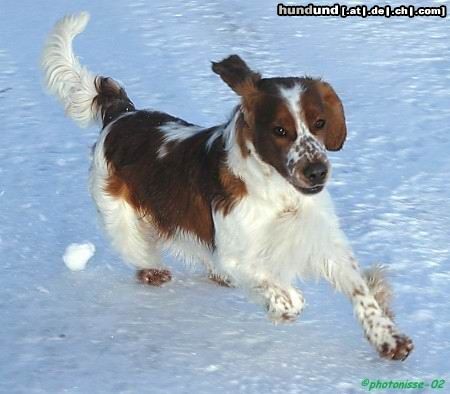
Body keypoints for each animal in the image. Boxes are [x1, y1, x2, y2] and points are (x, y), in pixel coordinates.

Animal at [40, 11, 414, 360]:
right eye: (280, 130)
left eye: (319, 122)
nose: (317, 172)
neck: (279, 195)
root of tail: (121, 115)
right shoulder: (236, 254)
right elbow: (282, 291)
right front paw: (285, 303)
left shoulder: (322, 239)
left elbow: (361, 290)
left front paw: (388, 338)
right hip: (120, 219)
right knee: (140, 250)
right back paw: (154, 272)